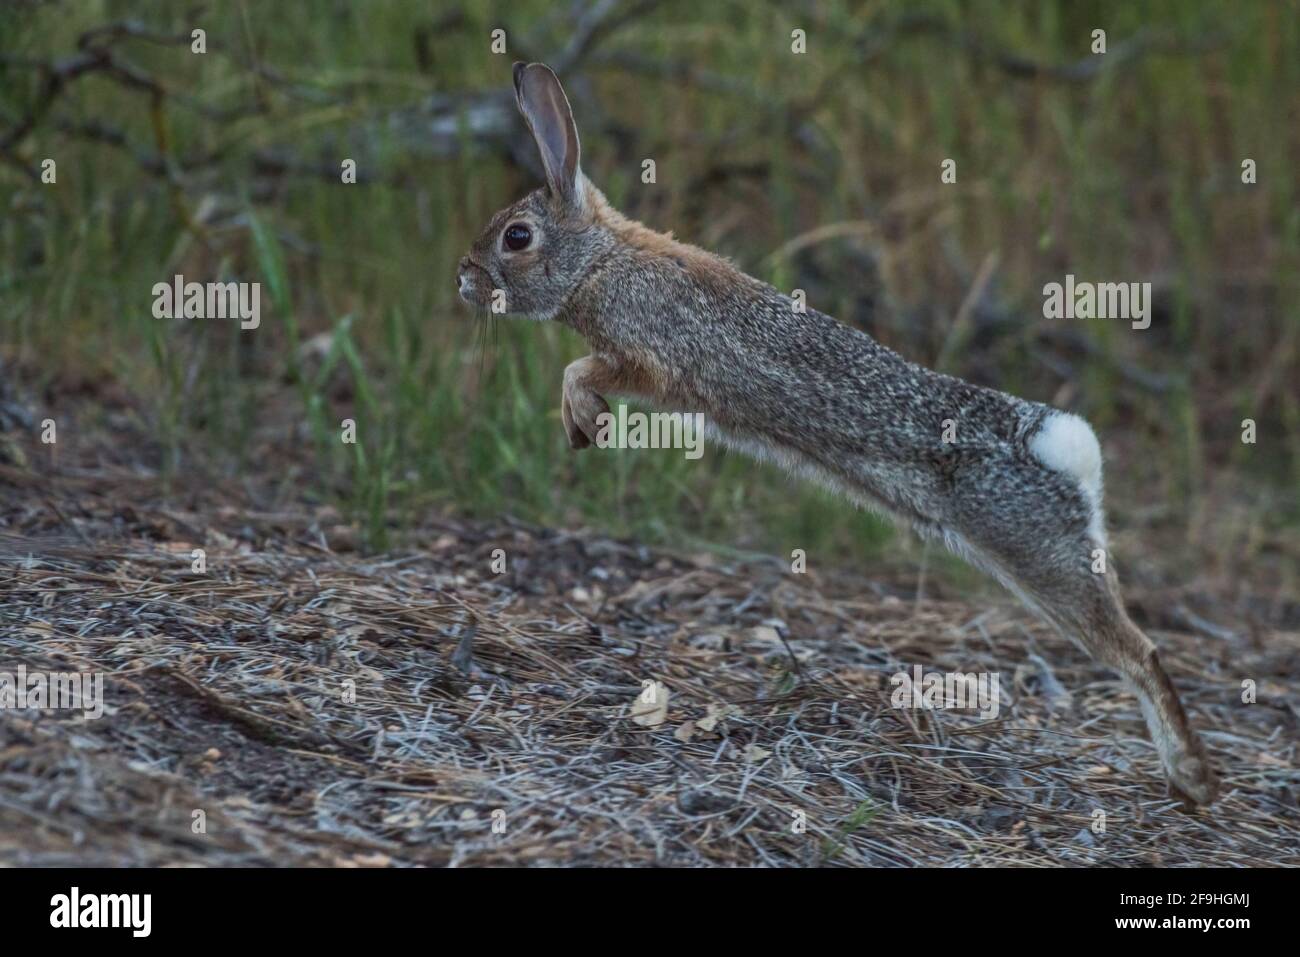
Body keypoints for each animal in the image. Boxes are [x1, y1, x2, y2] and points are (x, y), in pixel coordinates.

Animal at [457, 61, 1219, 806]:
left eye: (516, 237)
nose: (464, 280)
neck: (601, 259)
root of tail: (1066, 454)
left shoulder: (650, 360)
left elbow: (583, 369)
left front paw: (584, 417)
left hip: (1036, 552)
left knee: (1137, 651)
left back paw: (1192, 777)